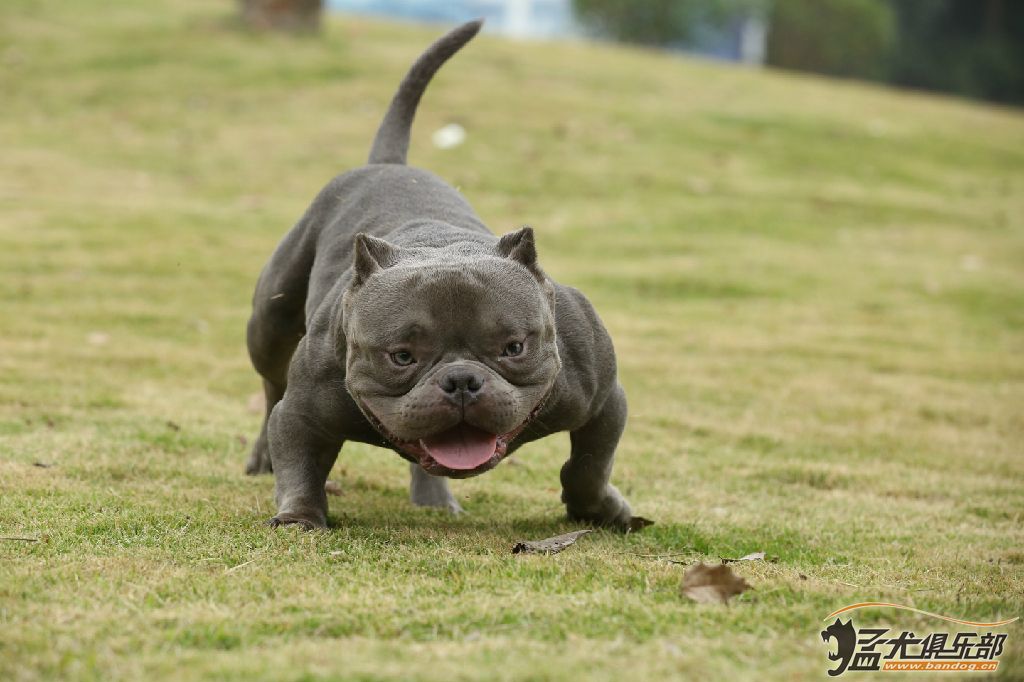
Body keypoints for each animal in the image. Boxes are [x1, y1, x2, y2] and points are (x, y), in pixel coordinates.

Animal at [243, 19, 634, 532]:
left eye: (514, 348)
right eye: (401, 357)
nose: (462, 380)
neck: (440, 245)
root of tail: (390, 164)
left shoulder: (603, 400)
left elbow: (591, 462)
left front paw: (598, 508)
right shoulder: (304, 413)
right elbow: (300, 462)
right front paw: (300, 518)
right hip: (270, 325)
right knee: (272, 386)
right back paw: (263, 457)